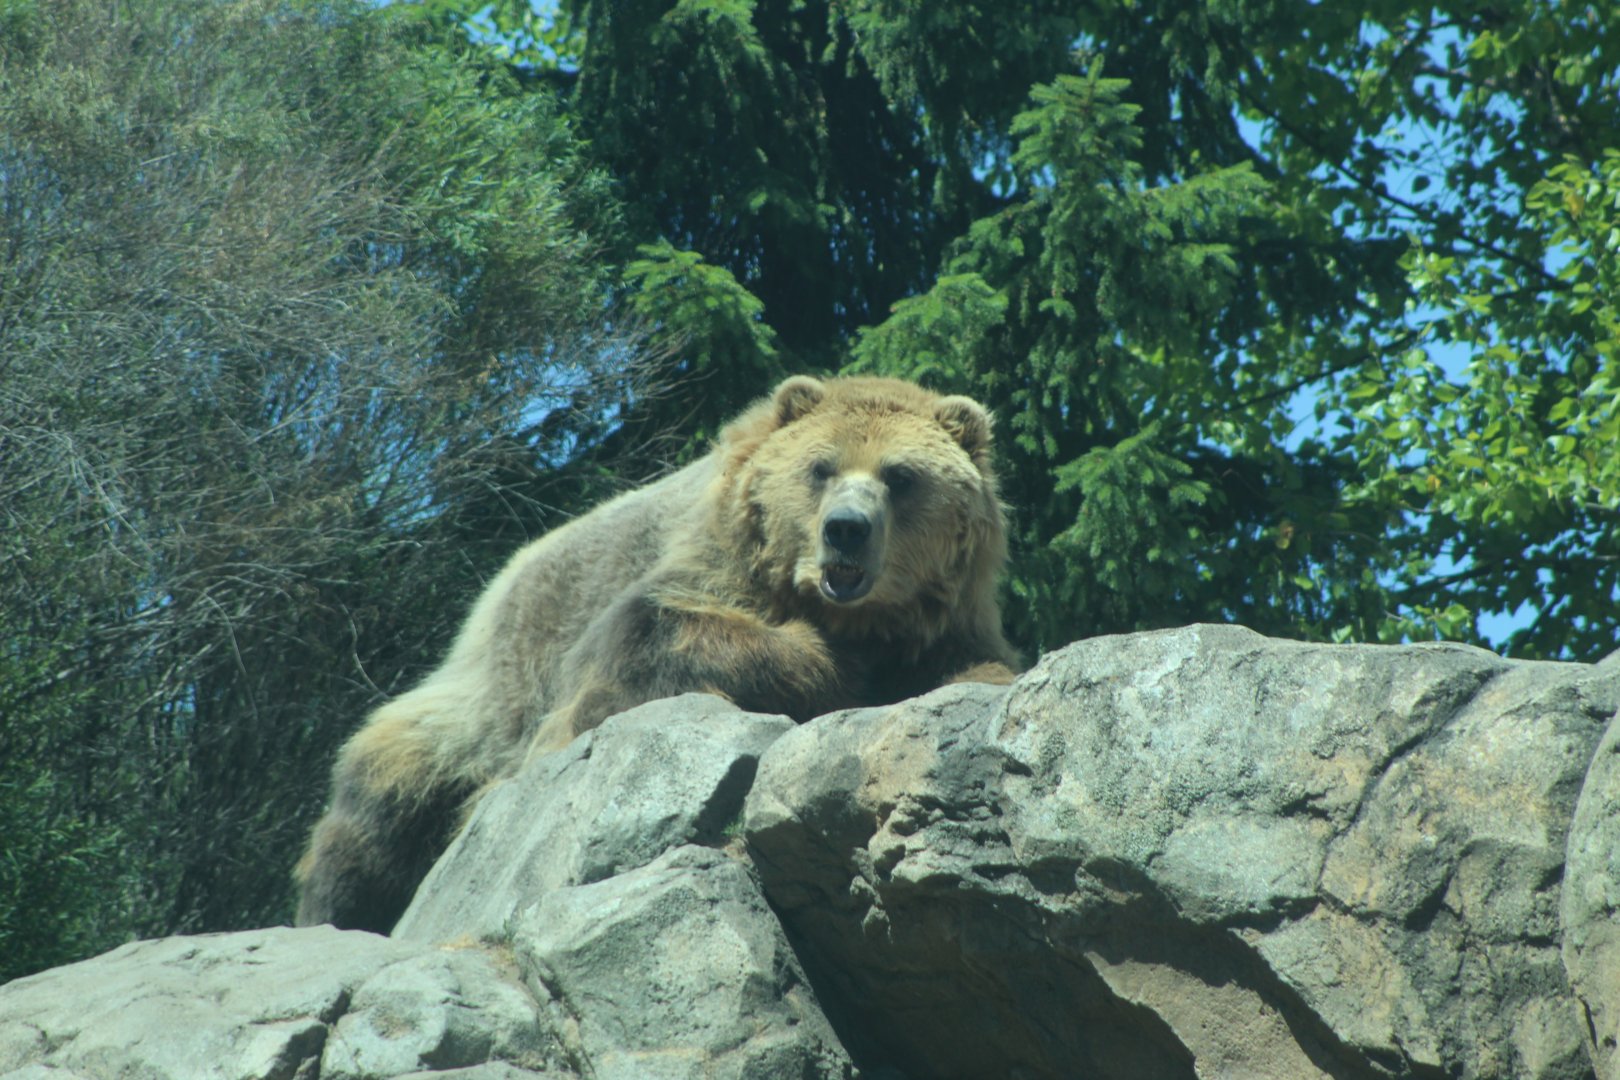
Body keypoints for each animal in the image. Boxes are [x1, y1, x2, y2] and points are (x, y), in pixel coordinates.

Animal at [295, 374, 1020, 932]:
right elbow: (658, 638)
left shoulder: (948, 618)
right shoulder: (703, 569)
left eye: (901, 476)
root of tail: (501, 582)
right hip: (491, 698)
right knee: (380, 807)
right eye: (822, 467)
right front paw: (829, 664)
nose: (846, 531)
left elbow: (976, 665)